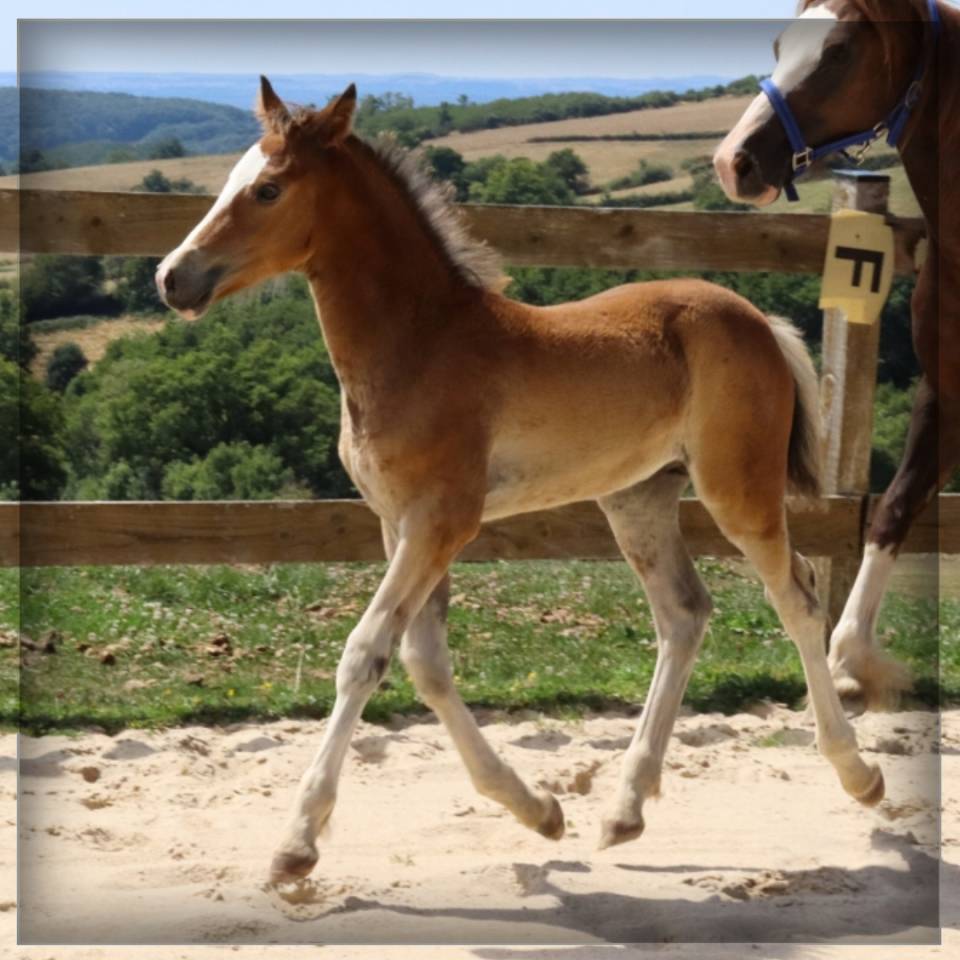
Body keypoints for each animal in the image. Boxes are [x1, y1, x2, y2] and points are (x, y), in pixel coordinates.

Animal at [157, 77, 884, 884]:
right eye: (230, 177)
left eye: (267, 188)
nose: (172, 278)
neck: (420, 343)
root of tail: (760, 320)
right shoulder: (399, 524)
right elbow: (425, 662)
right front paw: (538, 810)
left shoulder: (442, 521)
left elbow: (366, 653)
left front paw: (296, 843)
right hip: (637, 497)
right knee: (684, 613)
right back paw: (624, 809)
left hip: (737, 490)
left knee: (797, 599)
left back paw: (859, 773)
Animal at [714, 0, 959, 711]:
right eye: (778, 44)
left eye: (841, 50)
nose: (732, 161)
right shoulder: (945, 390)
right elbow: (894, 507)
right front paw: (849, 662)